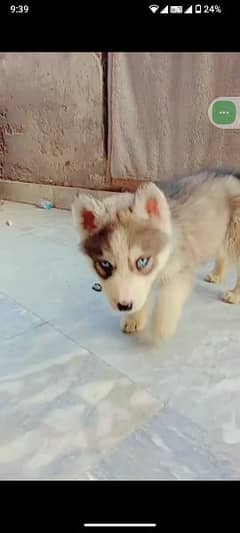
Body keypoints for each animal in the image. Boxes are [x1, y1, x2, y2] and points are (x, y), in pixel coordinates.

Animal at [72, 168, 240, 338]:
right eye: (105, 264)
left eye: (142, 261)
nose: (124, 306)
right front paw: (134, 318)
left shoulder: (180, 268)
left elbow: (168, 299)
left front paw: (161, 327)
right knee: (222, 254)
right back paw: (217, 275)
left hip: (234, 236)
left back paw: (235, 295)